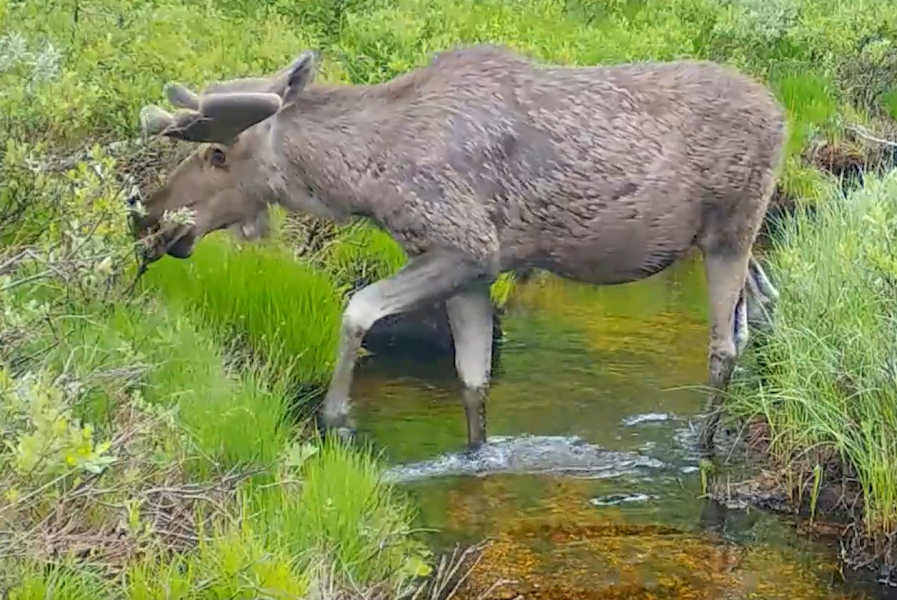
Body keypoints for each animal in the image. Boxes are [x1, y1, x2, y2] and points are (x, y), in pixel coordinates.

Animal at [132, 44, 785, 458]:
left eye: (217, 154)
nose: (148, 215)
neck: (363, 181)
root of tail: (784, 114)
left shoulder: (467, 249)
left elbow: (357, 309)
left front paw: (336, 419)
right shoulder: (471, 277)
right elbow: (472, 385)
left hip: (732, 228)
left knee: (723, 346)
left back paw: (703, 445)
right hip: (725, 242)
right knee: (763, 304)